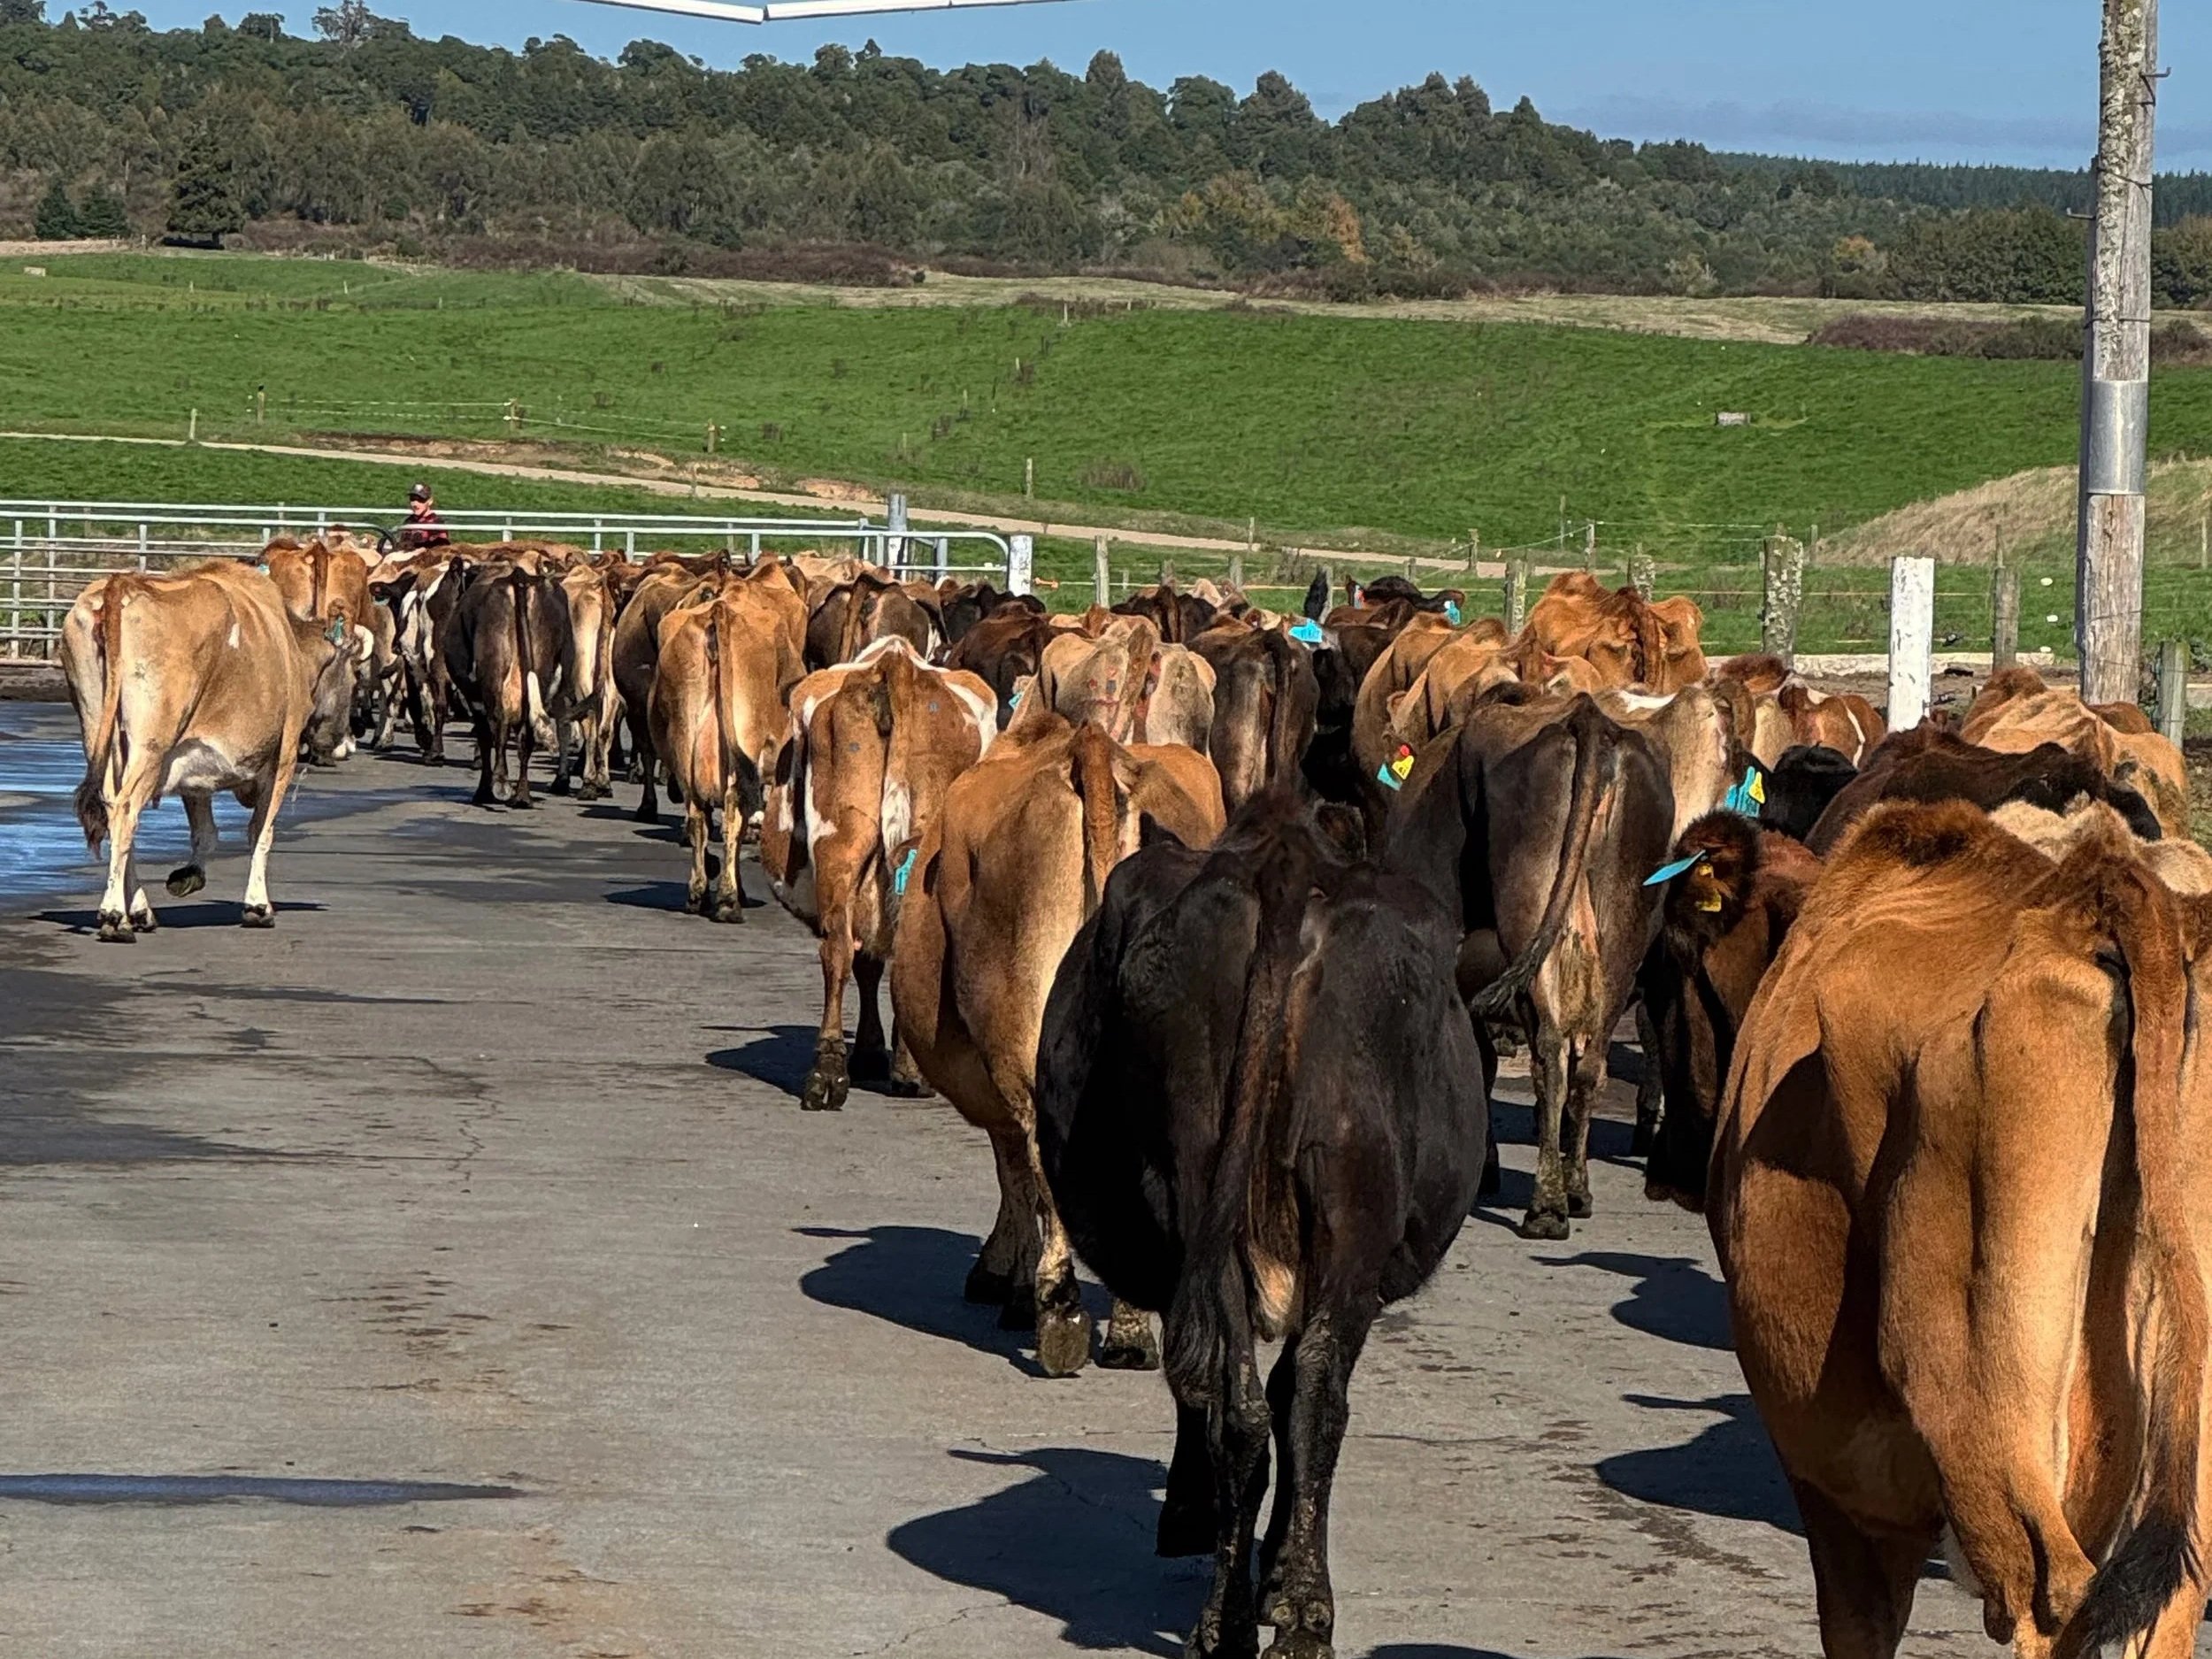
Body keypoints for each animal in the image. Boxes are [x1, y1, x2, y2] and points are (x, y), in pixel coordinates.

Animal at [60, 562, 354, 941]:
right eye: (351, 670)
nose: (342, 743)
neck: (291, 646)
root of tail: (122, 583)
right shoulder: (284, 755)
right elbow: (261, 831)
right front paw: (258, 906)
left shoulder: (192, 762)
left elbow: (205, 833)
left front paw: (187, 877)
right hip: (151, 743)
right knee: (125, 810)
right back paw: (114, 915)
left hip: (98, 726)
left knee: (113, 806)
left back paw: (138, 910)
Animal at [649, 575, 807, 922]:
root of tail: (719, 611)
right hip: (744, 739)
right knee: (734, 814)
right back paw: (728, 900)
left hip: (684, 737)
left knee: (697, 816)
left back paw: (697, 894)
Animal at [889, 712, 1226, 1374]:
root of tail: (1091, 748)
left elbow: (1014, 1173)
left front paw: (1008, 1280)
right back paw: (1128, 1332)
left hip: (1026, 1037)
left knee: (1046, 1162)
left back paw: (1060, 1314)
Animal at [1035, 792, 1489, 1659]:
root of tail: (1284, 863)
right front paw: (1265, 1561)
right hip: (1345, 1201)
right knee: (1296, 1393)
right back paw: (1287, 1612)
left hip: (1232, 1190)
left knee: (1246, 1397)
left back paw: (1240, 1617)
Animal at [1384, 689, 1673, 1238]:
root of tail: (1589, 719)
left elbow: (1479, 1066)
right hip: (1625, 925)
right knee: (1590, 1061)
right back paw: (1576, 1191)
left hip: (1531, 905)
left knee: (1551, 1055)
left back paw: (1547, 1207)